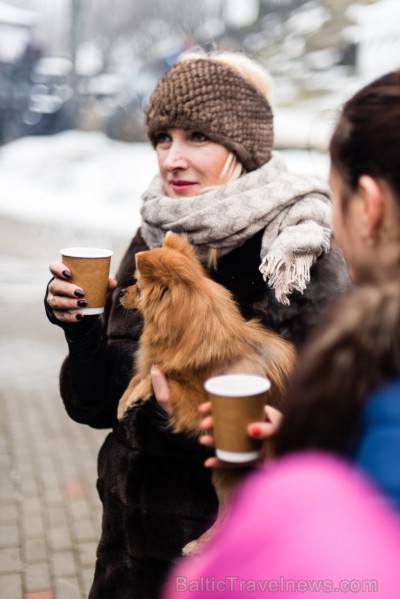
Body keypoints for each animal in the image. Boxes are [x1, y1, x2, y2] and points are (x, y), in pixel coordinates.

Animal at [117, 232, 296, 556]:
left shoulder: (197, 401)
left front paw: (139, 393)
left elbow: (160, 376)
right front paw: (125, 401)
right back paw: (202, 543)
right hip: (224, 474)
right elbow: (140, 373)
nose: (121, 290)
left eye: (137, 284)